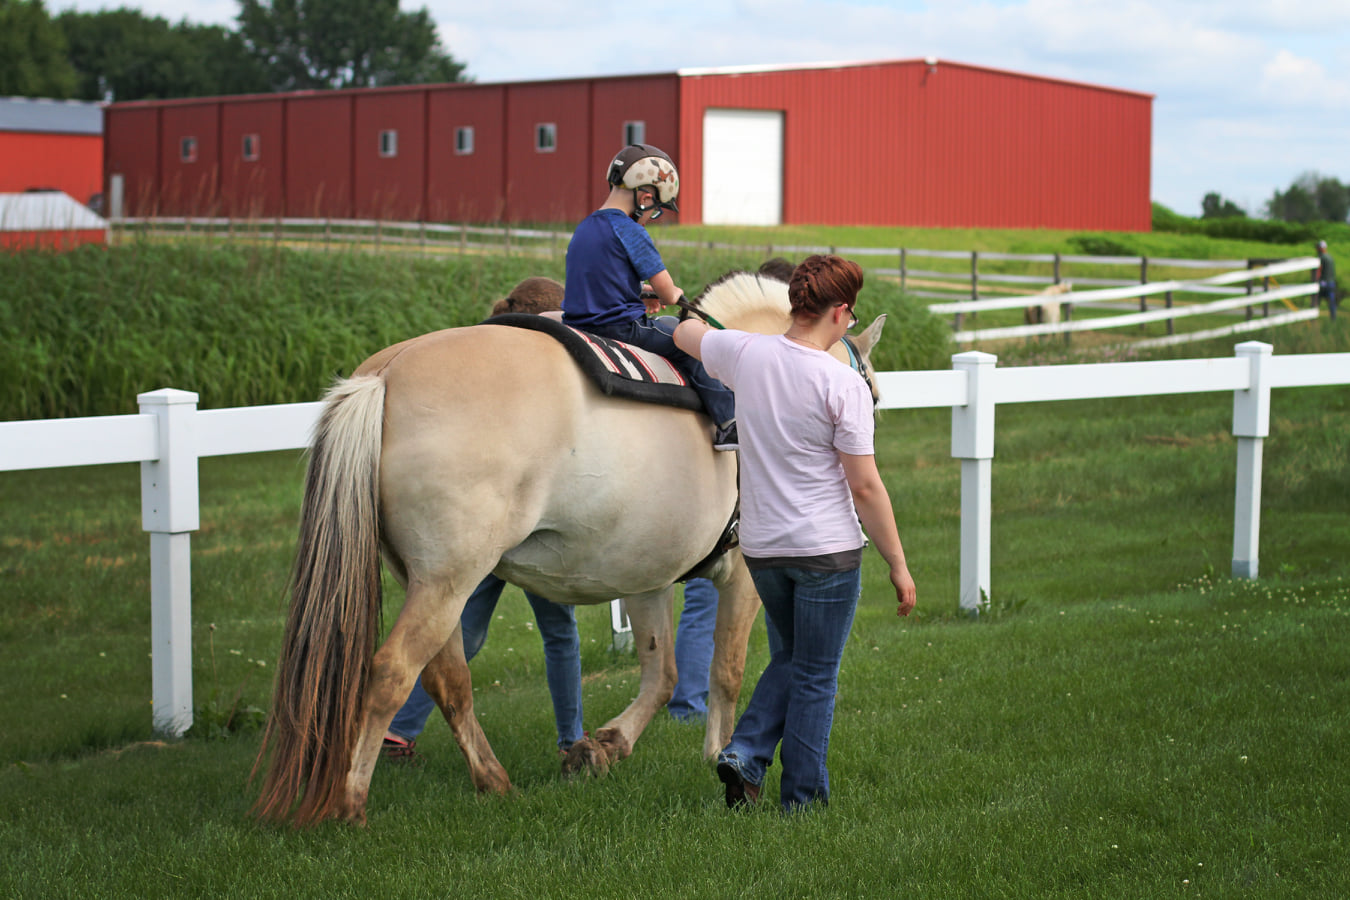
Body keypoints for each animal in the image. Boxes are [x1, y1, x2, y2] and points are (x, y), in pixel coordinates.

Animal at [250, 271, 887, 826]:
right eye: (872, 394)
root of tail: (387, 373)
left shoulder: (646, 575)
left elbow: (662, 672)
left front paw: (605, 745)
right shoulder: (745, 577)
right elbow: (725, 670)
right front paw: (719, 754)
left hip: (431, 581)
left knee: (448, 679)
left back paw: (493, 780)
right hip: (450, 580)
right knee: (392, 671)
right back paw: (351, 801)